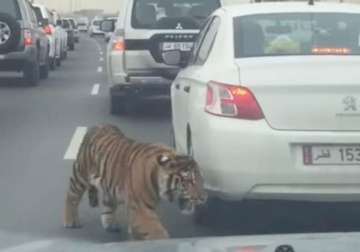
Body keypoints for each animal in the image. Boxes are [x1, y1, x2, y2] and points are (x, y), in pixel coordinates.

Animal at [63, 125, 207, 241]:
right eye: (189, 181)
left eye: (201, 179)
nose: (203, 198)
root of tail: (98, 126)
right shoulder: (141, 210)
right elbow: (157, 233)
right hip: (80, 174)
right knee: (71, 195)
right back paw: (70, 221)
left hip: (109, 185)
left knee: (108, 202)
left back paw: (110, 224)